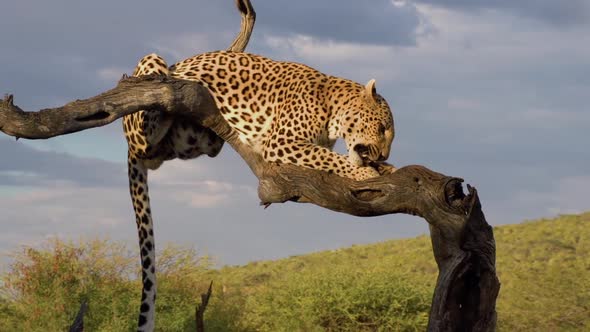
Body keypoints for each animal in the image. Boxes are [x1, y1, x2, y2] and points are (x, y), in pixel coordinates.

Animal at [122, 0, 396, 330]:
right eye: (382, 127)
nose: (383, 154)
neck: (332, 108)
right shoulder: (282, 142)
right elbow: (330, 158)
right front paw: (365, 171)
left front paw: (385, 169)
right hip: (149, 79)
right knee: (152, 112)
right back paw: (174, 83)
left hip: (197, 141)